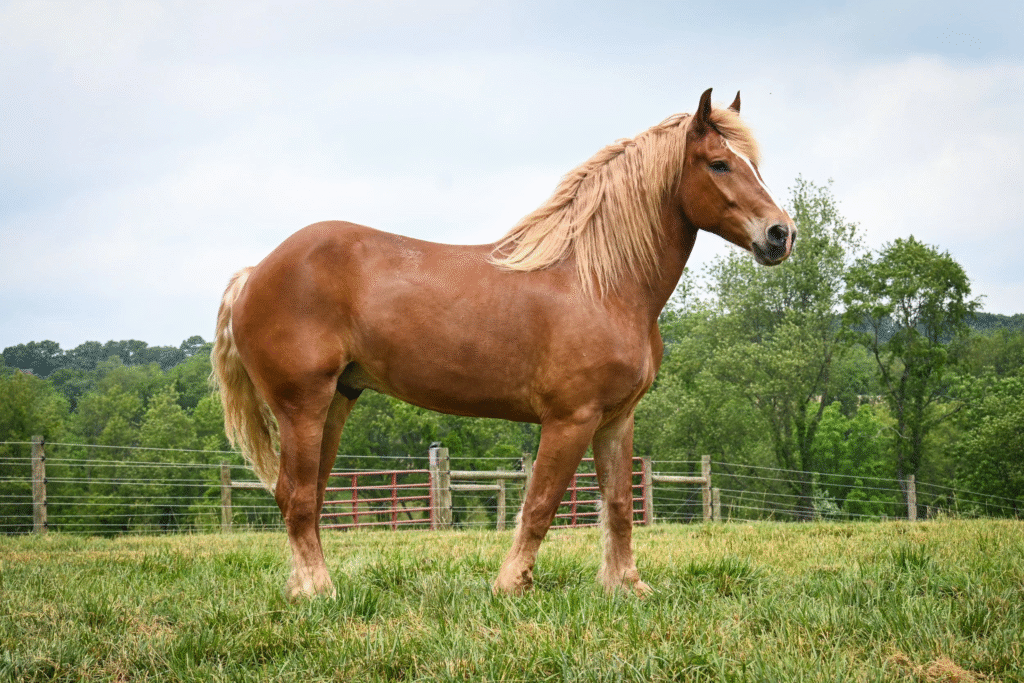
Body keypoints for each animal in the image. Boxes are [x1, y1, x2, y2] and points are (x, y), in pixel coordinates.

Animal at [211, 88, 796, 600]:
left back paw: (302, 589)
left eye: (753, 164)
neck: (599, 283)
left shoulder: (615, 420)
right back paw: (319, 591)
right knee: (297, 498)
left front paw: (626, 587)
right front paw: (512, 586)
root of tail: (255, 273)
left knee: (303, 495)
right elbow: (540, 504)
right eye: (718, 164)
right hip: (303, 406)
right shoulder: (570, 419)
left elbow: (619, 506)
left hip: (337, 401)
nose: (780, 234)